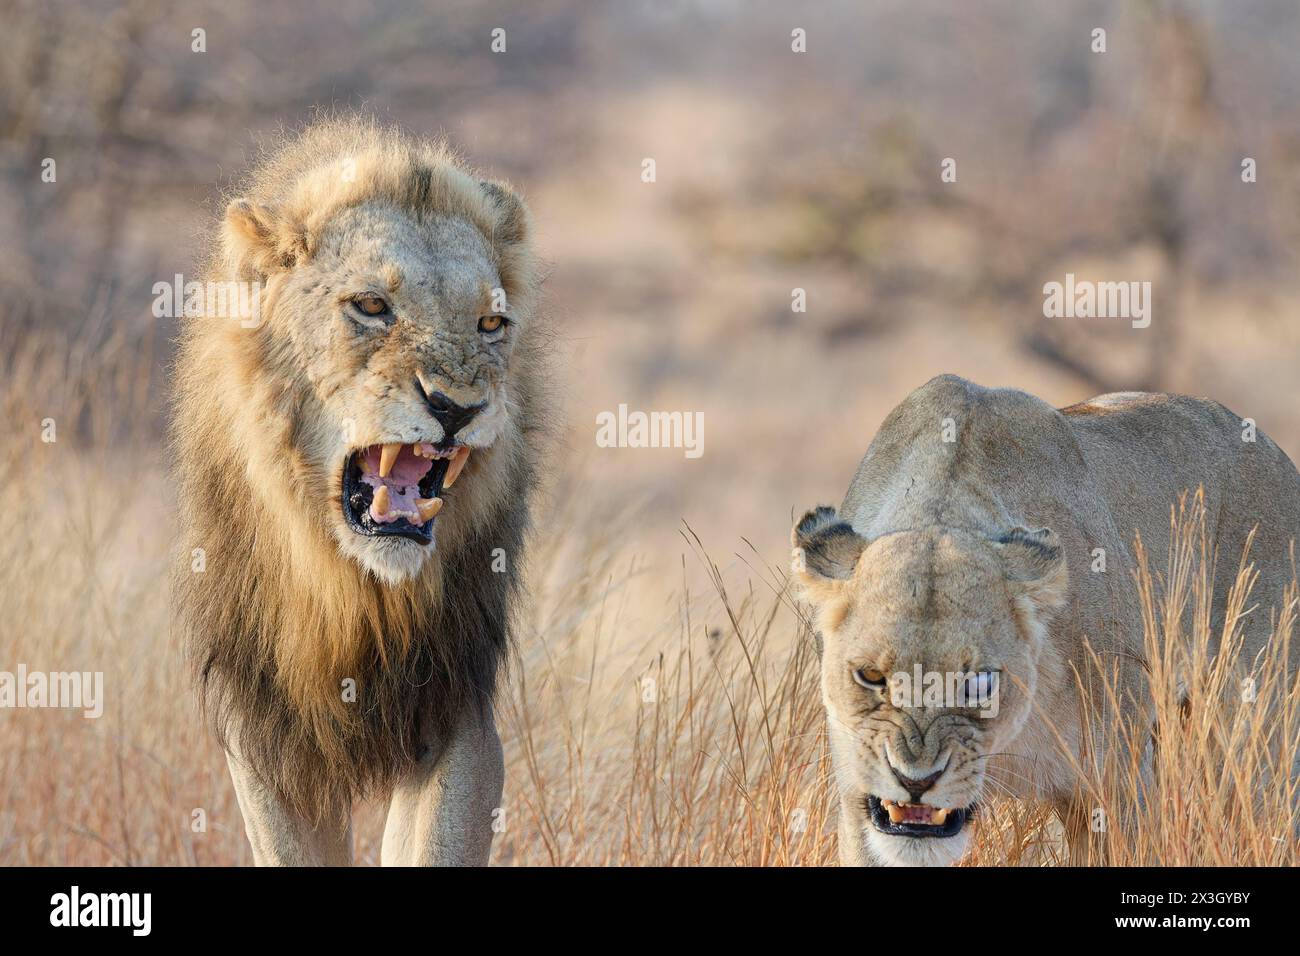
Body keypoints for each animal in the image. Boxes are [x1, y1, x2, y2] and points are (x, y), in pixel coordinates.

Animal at [169, 117, 543, 868]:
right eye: (372, 307)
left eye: (491, 324)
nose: (456, 407)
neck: (355, 591)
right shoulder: (264, 728)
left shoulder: (456, 707)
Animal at [790, 374, 1300, 868]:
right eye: (870, 676)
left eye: (979, 683)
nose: (916, 780)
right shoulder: (859, 794)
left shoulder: (1116, 786)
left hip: (1261, 739)